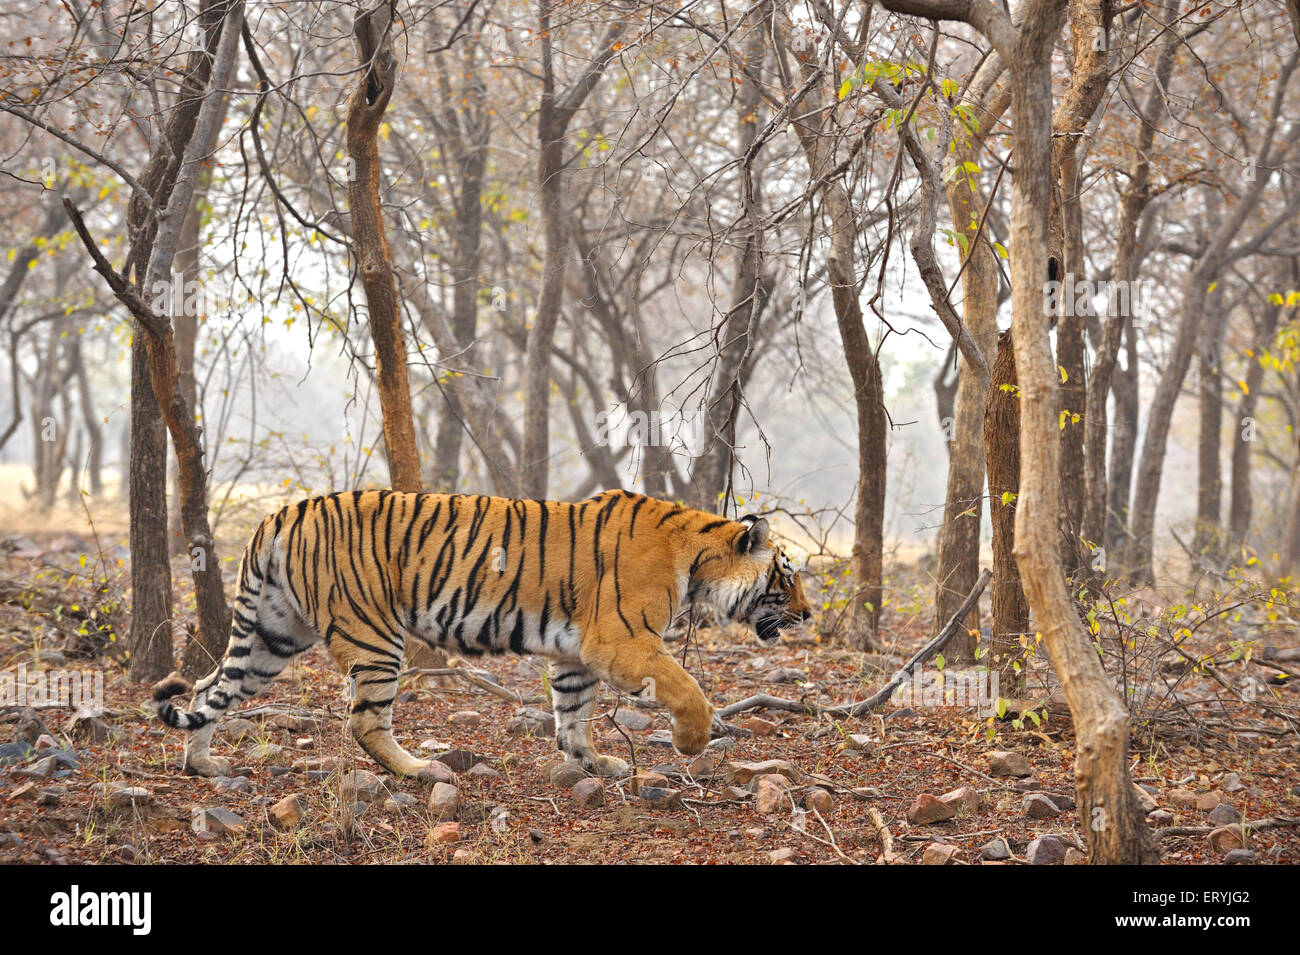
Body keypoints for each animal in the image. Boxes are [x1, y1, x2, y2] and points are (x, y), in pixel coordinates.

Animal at [154, 488, 811, 779]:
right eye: (788, 575)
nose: (809, 616)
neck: (697, 560)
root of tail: (280, 512)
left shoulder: (577, 654)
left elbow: (572, 714)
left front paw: (594, 763)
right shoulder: (622, 640)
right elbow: (685, 685)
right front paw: (691, 742)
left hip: (273, 636)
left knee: (210, 689)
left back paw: (202, 764)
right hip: (374, 636)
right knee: (365, 721)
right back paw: (421, 770)